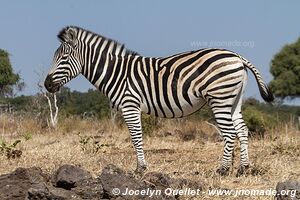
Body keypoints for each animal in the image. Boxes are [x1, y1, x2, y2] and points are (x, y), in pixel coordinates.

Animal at [45, 25, 274, 176]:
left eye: (63, 58)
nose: (47, 85)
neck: (117, 72)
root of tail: (237, 56)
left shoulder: (130, 105)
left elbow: (136, 137)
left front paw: (140, 169)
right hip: (234, 100)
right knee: (242, 130)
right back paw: (244, 168)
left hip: (219, 98)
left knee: (229, 133)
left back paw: (223, 170)